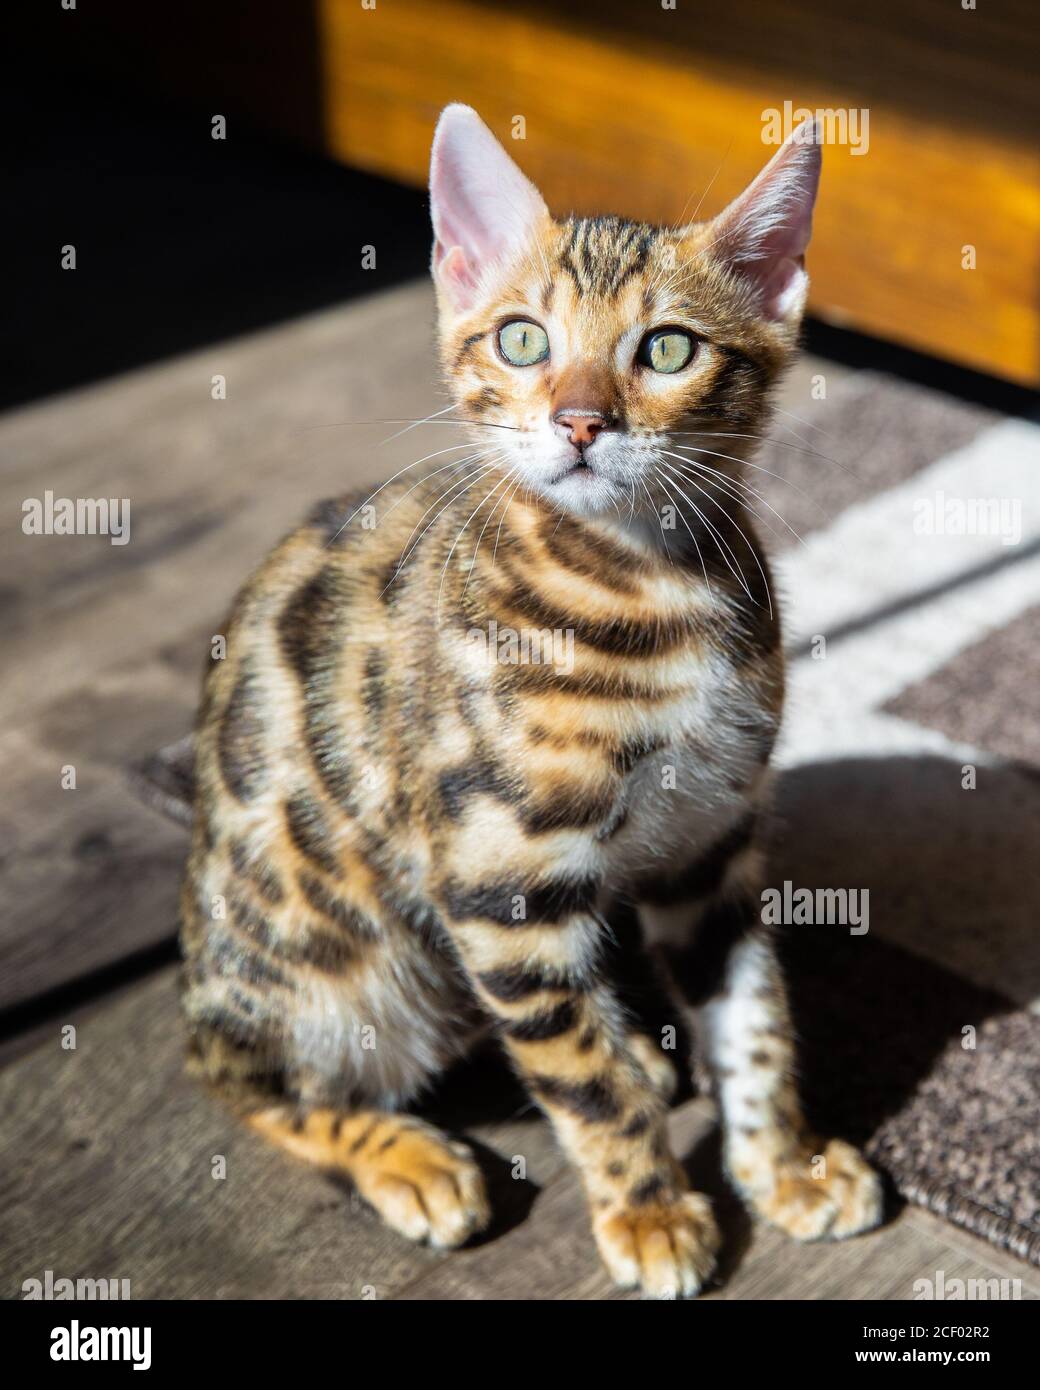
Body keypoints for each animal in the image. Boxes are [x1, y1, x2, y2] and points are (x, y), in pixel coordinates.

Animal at [182, 102, 884, 1295]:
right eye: (522, 340)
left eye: (666, 348)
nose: (580, 421)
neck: (647, 586)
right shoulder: (496, 878)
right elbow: (581, 1079)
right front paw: (649, 1213)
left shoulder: (712, 838)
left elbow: (751, 1013)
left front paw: (781, 1165)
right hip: (331, 961)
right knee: (244, 1075)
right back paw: (406, 1157)